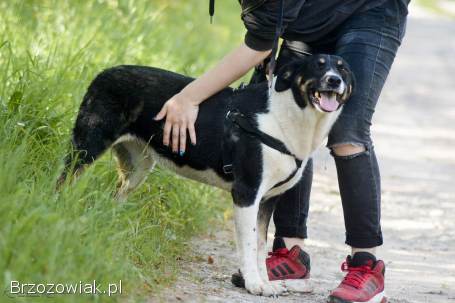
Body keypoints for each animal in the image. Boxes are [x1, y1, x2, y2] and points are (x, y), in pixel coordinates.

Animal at [58, 54, 356, 296]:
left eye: (343, 68)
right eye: (318, 66)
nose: (334, 80)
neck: (288, 120)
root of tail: (105, 71)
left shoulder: (268, 200)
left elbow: (260, 245)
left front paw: (263, 282)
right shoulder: (246, 193)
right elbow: (249, 245)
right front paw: (254, 284)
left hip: (138, 167)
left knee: (113, 198)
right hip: (87, 147)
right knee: (62, 183)